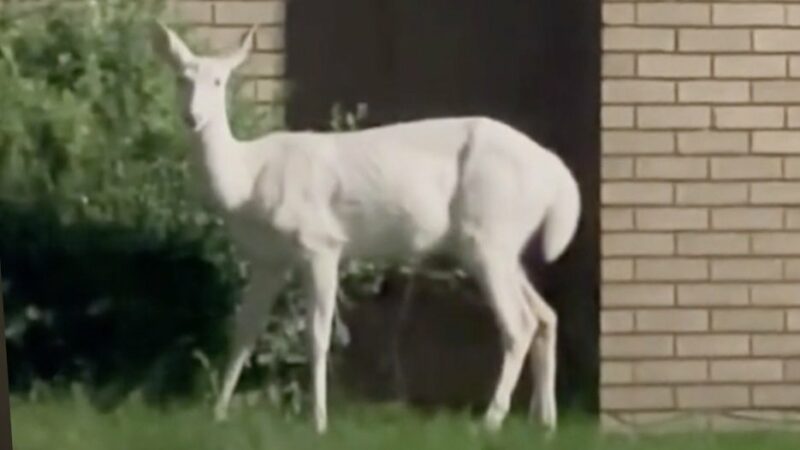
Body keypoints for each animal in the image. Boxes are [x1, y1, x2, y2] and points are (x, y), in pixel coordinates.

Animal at [153, 22, 580, 436]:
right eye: (181, 77)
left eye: (218, 81)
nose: (192, 117)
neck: (248, 181)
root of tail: (558, 177)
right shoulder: (268, 259)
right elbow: (245, 330)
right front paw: (218, 413)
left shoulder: (321, 244)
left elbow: (317, 335)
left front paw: (319, 422)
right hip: (498, 243)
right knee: (545, 314)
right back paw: (545, 421)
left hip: (489, 234)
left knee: (519, 323)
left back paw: (490, 422)